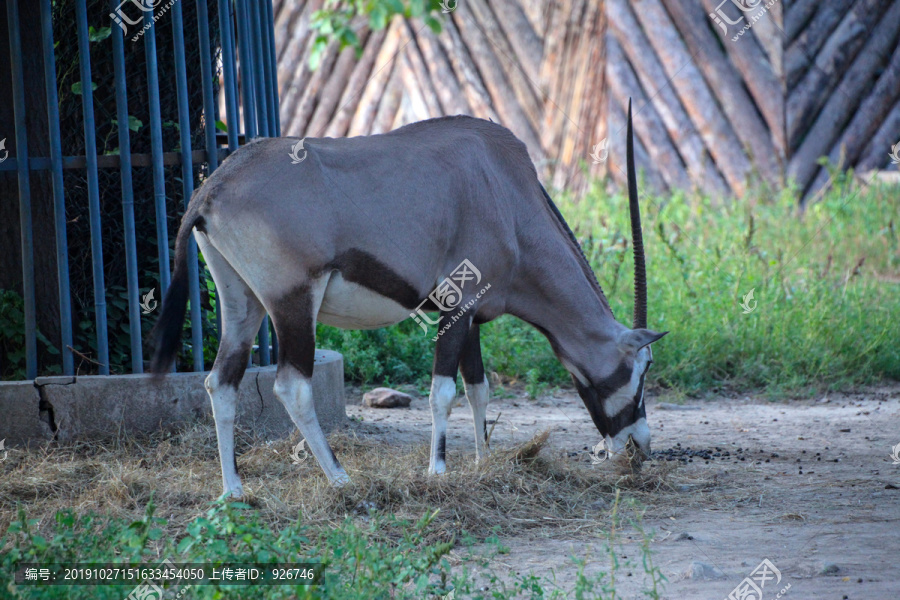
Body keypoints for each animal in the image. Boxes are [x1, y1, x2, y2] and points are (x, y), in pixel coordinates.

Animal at [149, 102, 668, 496]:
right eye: (641, 370)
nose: (639, 448)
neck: (507, 195)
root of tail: (211, 191)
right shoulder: (456, 305)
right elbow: (443, 392)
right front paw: (438, 470)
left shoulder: (473, 317)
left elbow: (478, 388)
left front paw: (482, 461)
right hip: (293, 302)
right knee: (292, 387)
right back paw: (340, 479)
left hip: (242, 303)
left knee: (221, 382)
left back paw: (234, 490)